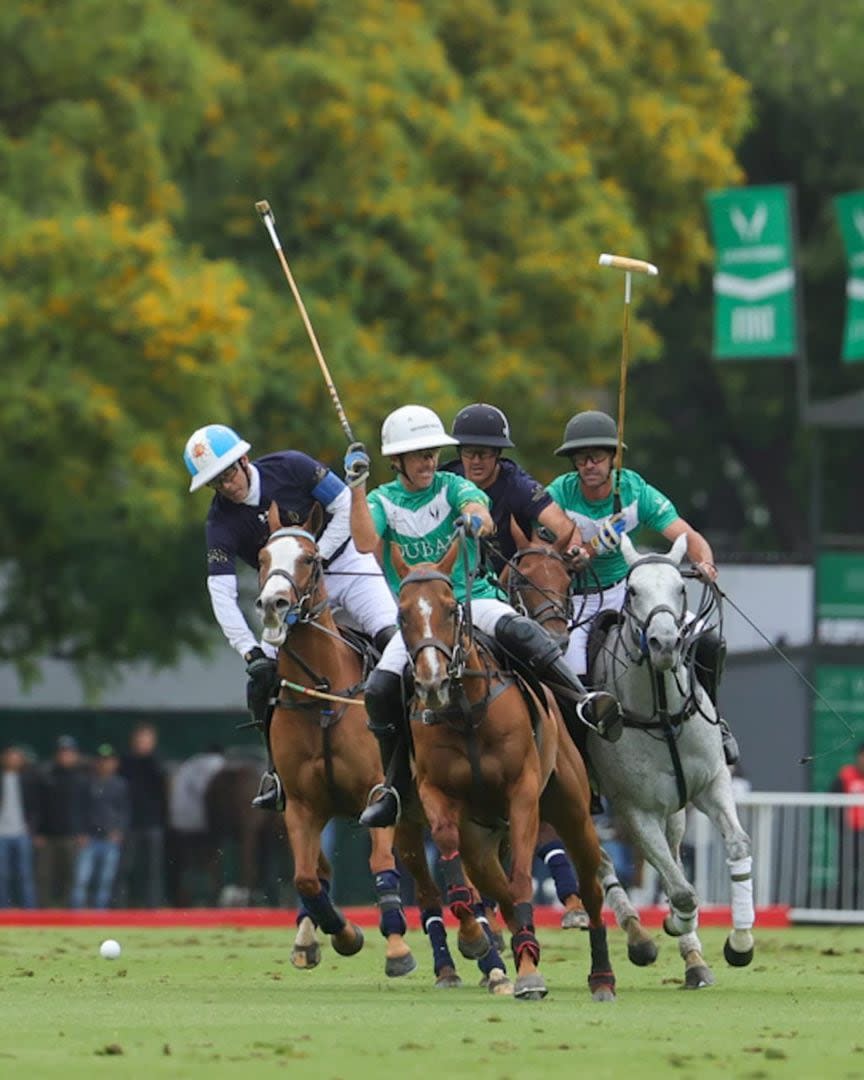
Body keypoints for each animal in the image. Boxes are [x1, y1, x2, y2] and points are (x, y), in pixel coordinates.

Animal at [390, 535, 613, 997]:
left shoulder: (523, 791)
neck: (465, 712)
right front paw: (480, 941)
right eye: (402, 614)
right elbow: (462, 862)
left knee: (591, 886)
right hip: (481, 837)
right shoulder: (435, 793)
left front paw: (526, 969)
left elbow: (524, 879)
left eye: (450, 608)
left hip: (573, 810)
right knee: (496, 887)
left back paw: (603, 974)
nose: (433, 683)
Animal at [587, 531, 756, 989]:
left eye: (681, 588)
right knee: (599, 859)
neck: (661, 714)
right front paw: (675, 921)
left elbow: (736, 846)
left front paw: (739, 942)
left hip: (675, 809)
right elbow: (681, 890)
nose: (665, 643)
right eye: (632, 590)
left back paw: (694, 959)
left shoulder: (711, 784)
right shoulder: (634, 808)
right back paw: (639, 938)